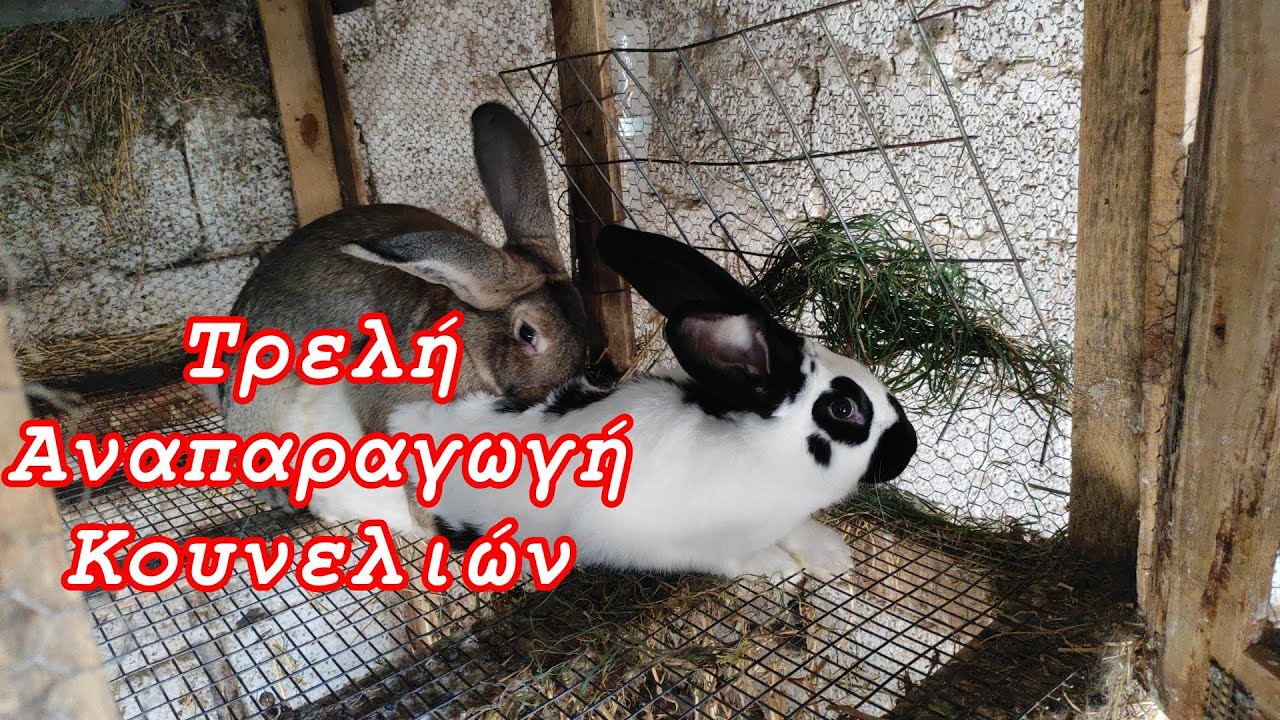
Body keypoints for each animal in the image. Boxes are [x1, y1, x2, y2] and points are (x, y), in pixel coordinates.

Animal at [385, 224, 919, 579]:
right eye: (843, 410)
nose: (908, 448)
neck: (763, 457)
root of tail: (407, 427)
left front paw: (830, 555)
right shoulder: (671, 542)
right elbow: (727, 558)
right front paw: (775, 567)